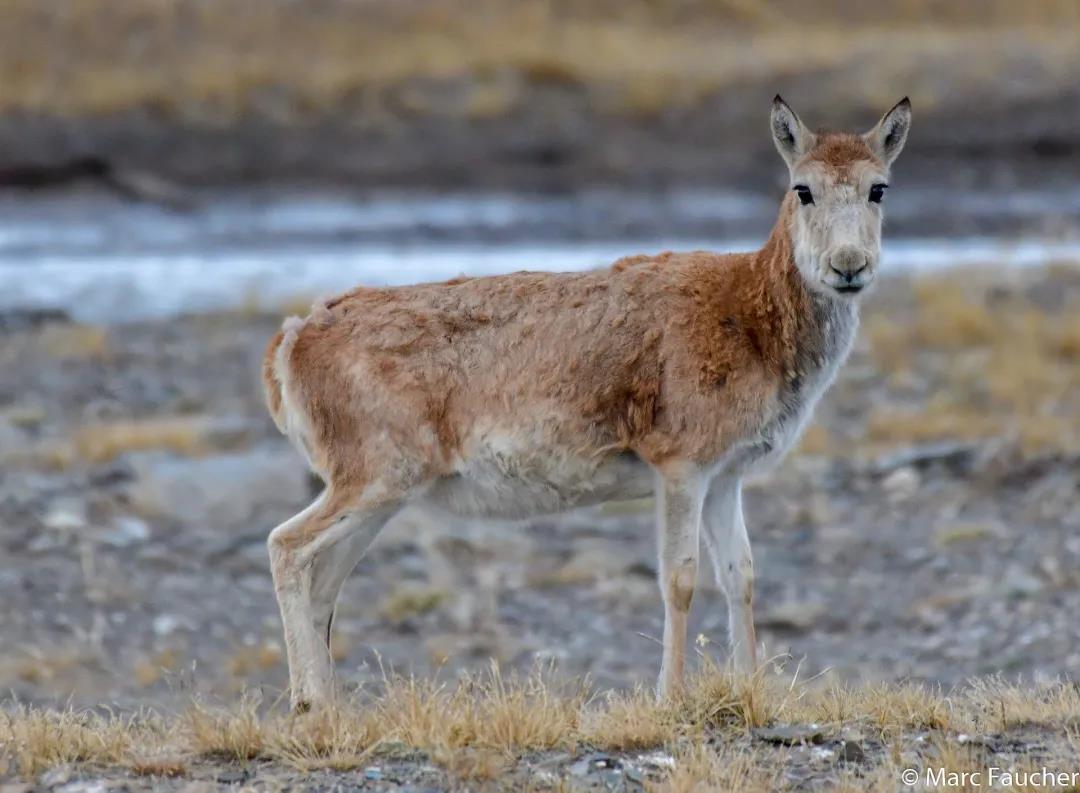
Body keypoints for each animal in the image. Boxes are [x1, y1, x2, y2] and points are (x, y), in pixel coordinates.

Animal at [263, 96, 911, 713]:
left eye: (878, 187)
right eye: (803, 188)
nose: (849, 266)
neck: (750, 314)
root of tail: (293, 337)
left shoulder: (726, 476)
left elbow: (741, 576)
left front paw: (751, 689)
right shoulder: (680, 468)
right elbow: (679, 578)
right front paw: (670, 697)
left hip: (380, 499)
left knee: (325, 583)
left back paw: (331, 709)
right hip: (372, 481)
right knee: (286, 548)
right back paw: (307, 703)